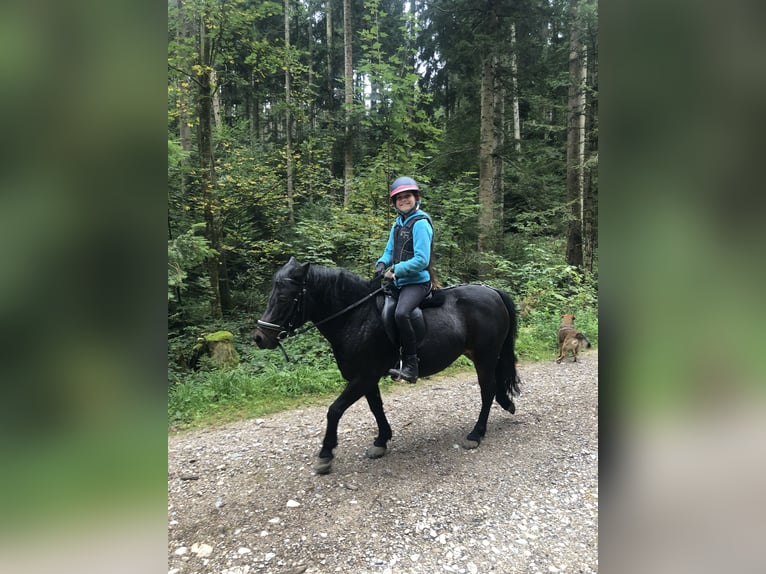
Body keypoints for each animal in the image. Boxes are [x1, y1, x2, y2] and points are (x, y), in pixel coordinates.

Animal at [254, 258, 520, 474]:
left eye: (285, 298)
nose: (259, 338)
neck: (356, 317)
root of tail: (493, 291)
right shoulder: (366, 378)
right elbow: (376, 407)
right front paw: (381, 441)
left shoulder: (364, 376)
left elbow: (334, 410)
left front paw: (326, 455)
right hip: (483, 355)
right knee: (495, 384)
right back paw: (506, 405)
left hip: (485, 355)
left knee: (487, 389)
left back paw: (476, 433)